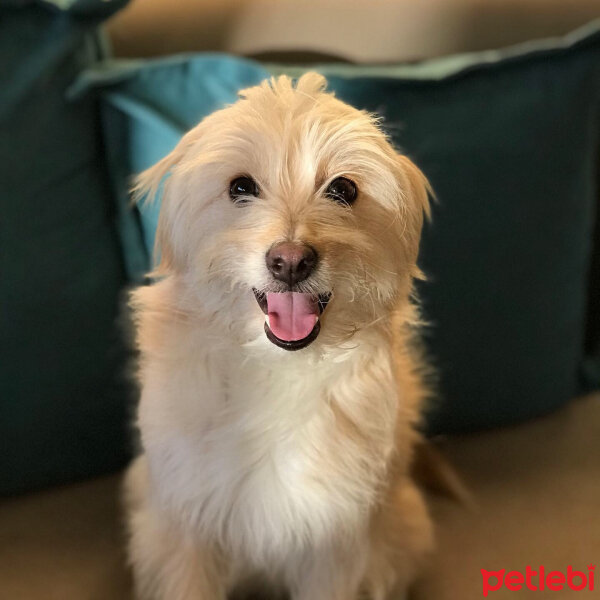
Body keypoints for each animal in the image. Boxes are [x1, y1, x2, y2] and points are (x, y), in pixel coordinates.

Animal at [126, 72, 434, 596]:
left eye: (343, 189)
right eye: (240, 187)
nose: (290, 261)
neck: (274, 371)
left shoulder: (333, 538)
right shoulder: (188, 526)